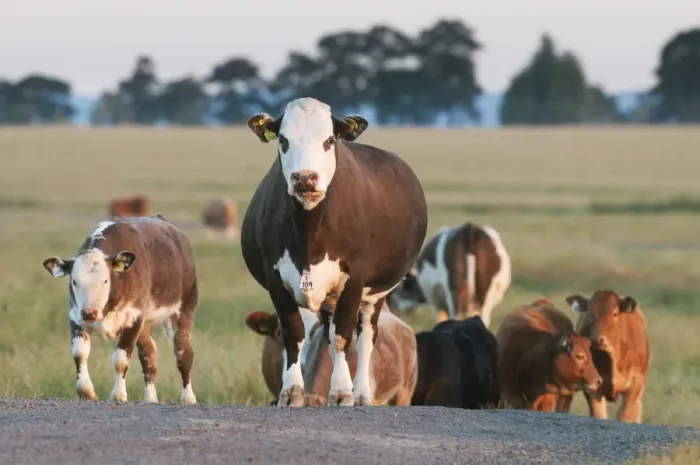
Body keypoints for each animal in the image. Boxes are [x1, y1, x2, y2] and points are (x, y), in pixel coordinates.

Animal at [41, 216, 199, 405]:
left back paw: (188, 397)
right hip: (145, 325)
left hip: (184, 309)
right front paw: (86, 391)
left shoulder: (134, 317)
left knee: (183, 354)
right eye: (74, 281)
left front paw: (118, 394)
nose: (90, 313)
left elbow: (121, 359)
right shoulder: (76, 315)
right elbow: (79, 353)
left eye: (105, 281)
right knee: (149, 356)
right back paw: (150, 398)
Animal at [240, 97, 428, 407]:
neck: (309, 233)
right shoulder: (275, 277)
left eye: (329, 140)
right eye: (283, 139)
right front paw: (292, 392)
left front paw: (342, 392)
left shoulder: (354, 277)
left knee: (366, 337)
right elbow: (295, 333)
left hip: (376, 295)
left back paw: (361, 393)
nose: (304, 178)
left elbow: (343, 336)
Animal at [556, 290, 650, 423]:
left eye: (615, 313)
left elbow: (626, 416)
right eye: (589, 314)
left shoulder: (636, 384)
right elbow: (599, 415)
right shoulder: (593, 388)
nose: (597, 340)